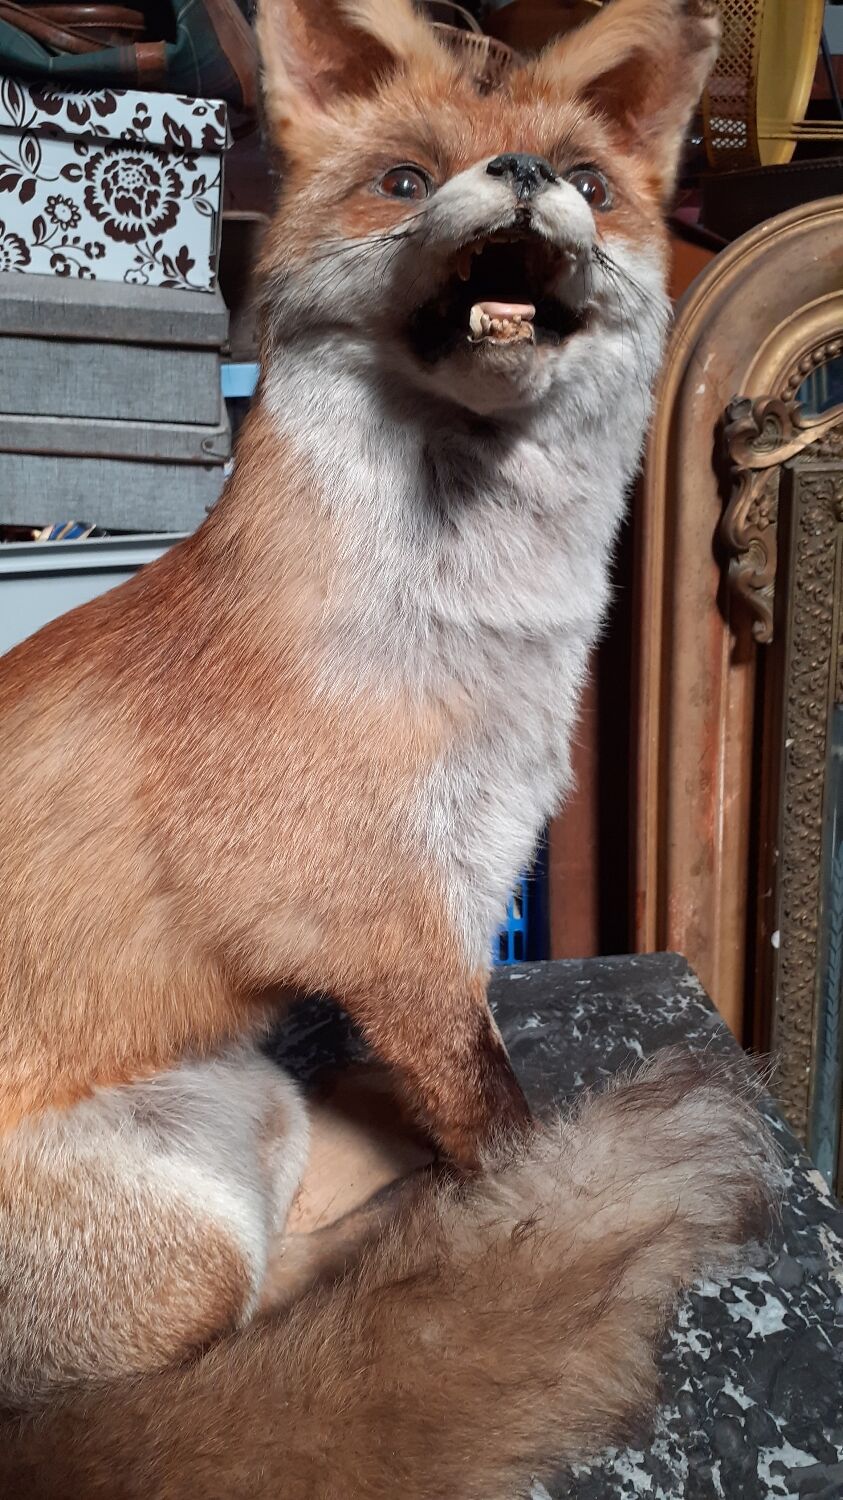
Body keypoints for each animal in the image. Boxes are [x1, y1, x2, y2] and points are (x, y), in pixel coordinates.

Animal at [0, 0, 779, 1490]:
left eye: (586, 181)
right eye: (407, 180)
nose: (521, 177)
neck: (465, 641)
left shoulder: (459, 902)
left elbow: (485, 1130)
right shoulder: (387, 932)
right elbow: (505, 1135)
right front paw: (519, 1230)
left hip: (253, 1110)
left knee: (305, 1231)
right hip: (185, 1243)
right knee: (230, 1344)